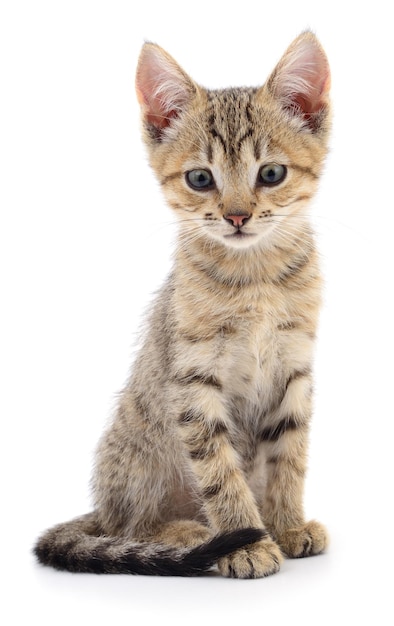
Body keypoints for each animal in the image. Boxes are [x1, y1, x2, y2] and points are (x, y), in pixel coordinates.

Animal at [33, 31, 330, 576]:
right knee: (131, 529)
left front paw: (286, 525)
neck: (255, 279)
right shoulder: (193, 384)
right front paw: (246, 541)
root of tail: (101, 509)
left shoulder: (295, 369)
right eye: (200, 179)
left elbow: (290, 457)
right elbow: (219, 473)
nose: (237, 216)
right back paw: (189, 534)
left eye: (272, 173)